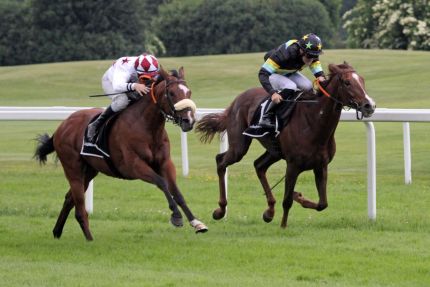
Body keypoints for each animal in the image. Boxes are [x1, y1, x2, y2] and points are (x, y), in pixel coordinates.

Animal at [34, 67, 208, 241]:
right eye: (171, 93)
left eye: (189, 92)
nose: (189, 121)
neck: (148, 128)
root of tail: (62, 126)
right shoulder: (133, 166)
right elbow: (162, 183)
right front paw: (176, 216)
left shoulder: (165, 163)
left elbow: (176, 191)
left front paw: (196, 223)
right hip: (73, 169)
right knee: (79, 207)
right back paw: (89, 239)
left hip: (89, 171)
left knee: (69, 199)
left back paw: (57, 232)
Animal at [197, 63, 374, 230]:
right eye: (347, 82)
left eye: (362, 80)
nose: (369, 105)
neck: (314, 122)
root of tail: (236, 101)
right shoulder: (293, 165)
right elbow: (287, 200)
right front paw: (283, 225)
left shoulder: (321, 166)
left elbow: (322, 204)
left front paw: (298, 197)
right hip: (239, 145)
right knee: (221, 161)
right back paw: (220, 210)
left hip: (274, 150)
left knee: (259, 165)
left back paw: (269, 211)